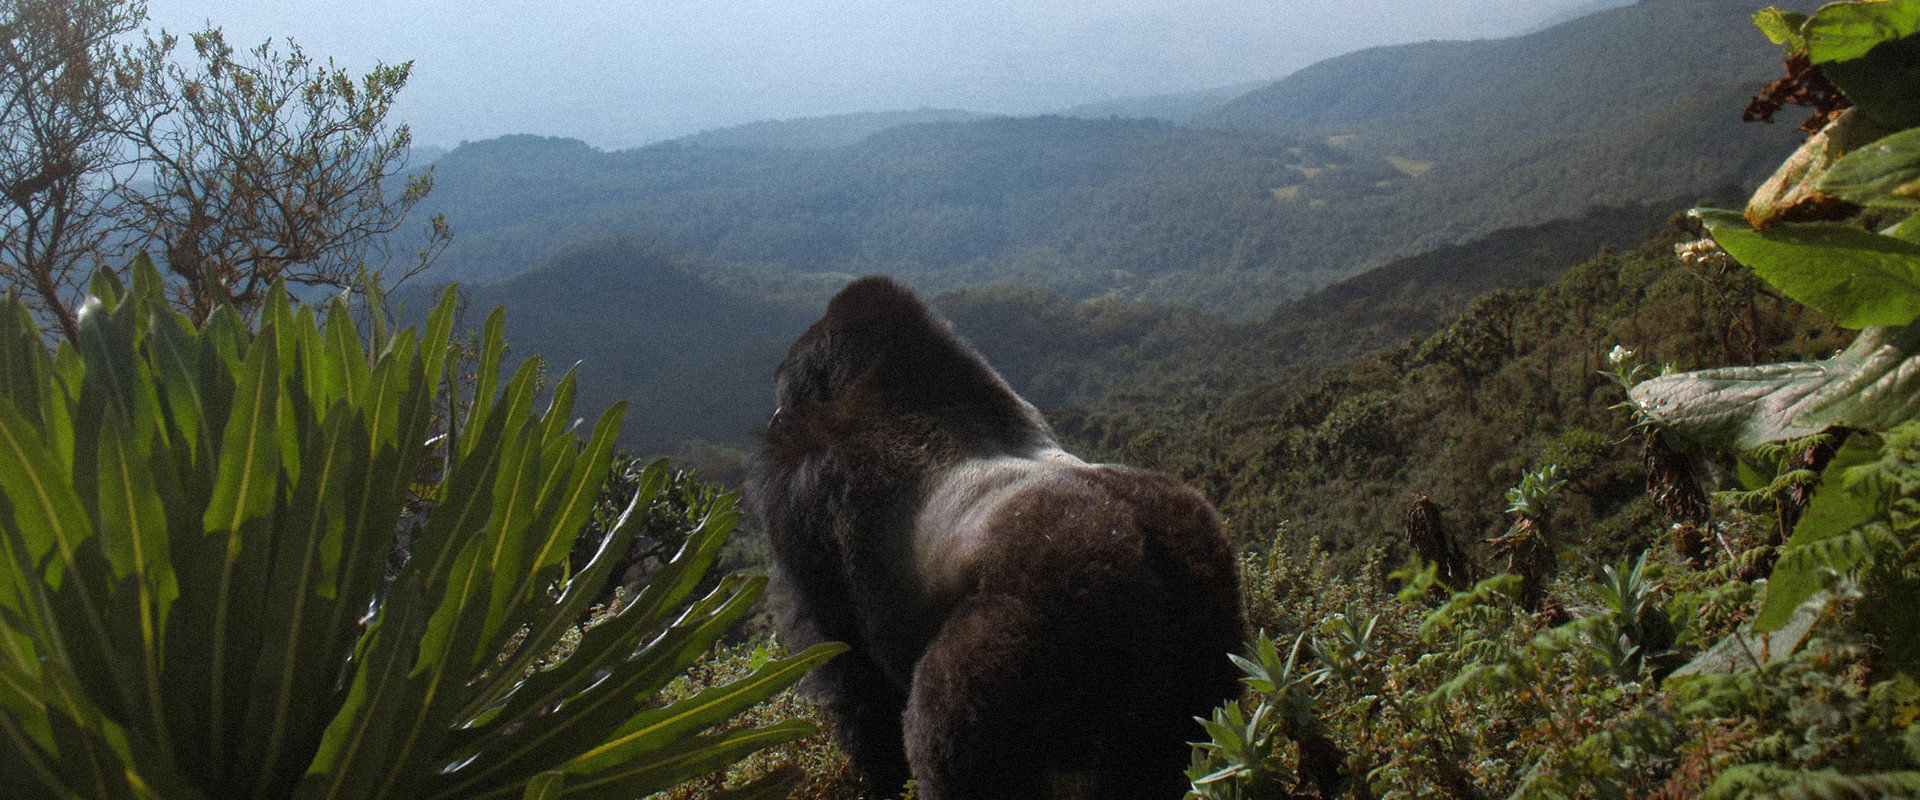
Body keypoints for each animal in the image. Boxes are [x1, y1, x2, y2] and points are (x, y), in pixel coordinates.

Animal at [749, 276, 1245, 800]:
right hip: (1207, 588)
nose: (775, 416)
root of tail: (1145, 537)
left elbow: (848, 665)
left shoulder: (802, 480)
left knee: (944, 737)